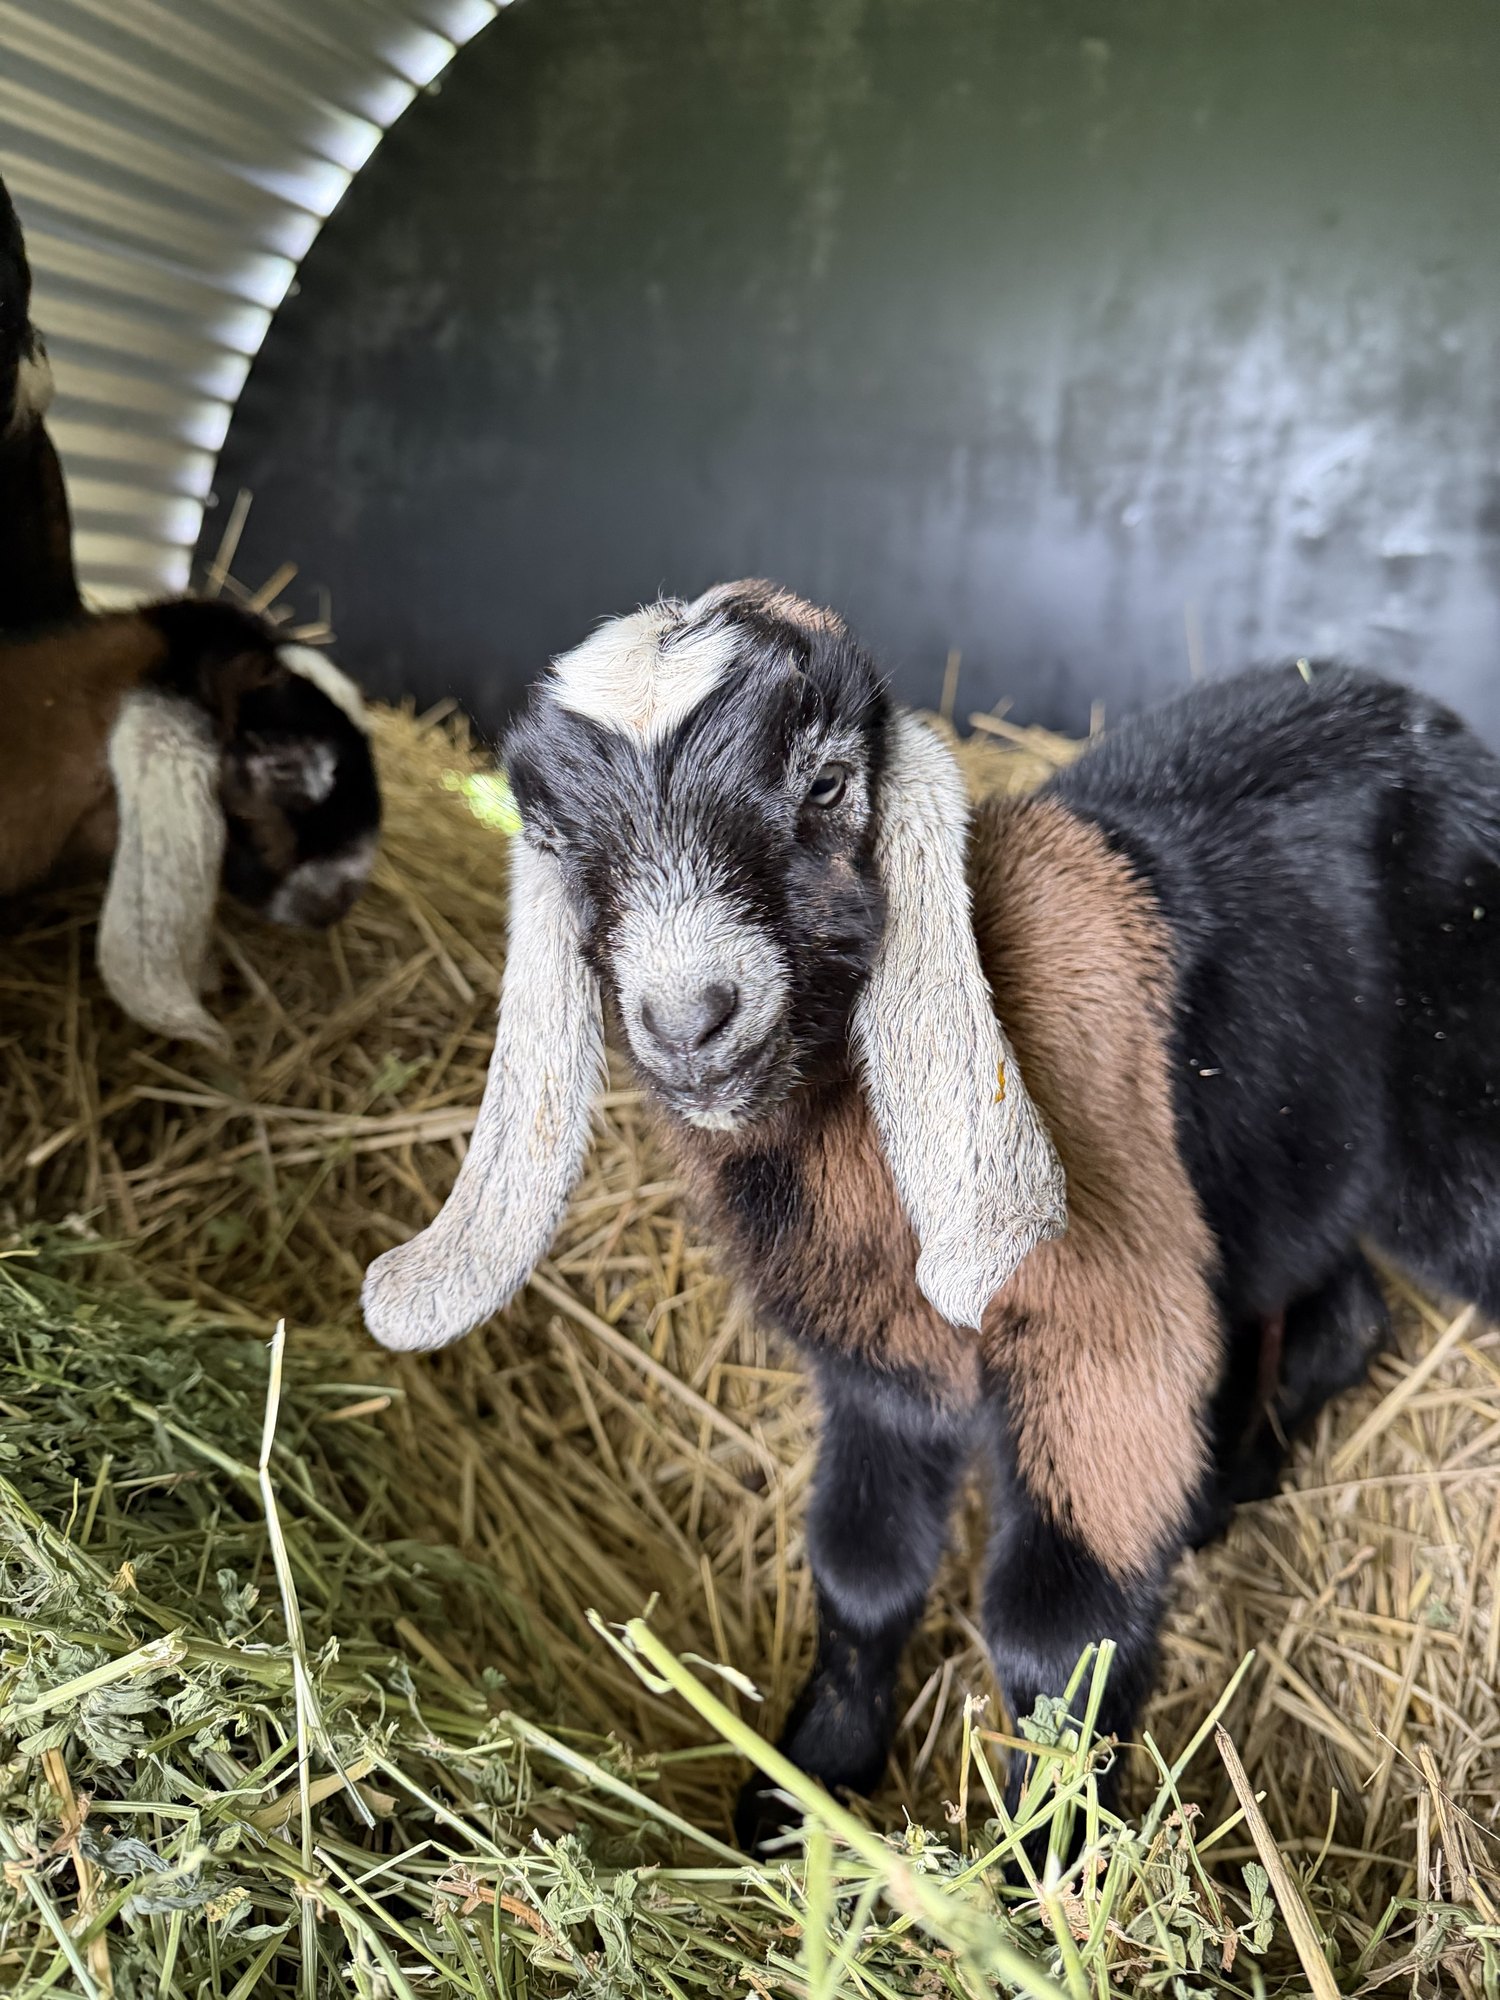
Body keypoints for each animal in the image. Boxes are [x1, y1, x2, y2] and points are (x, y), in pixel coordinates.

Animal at [363, 581, 1498, 1854]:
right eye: (557, 834)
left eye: (823, 783)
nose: (690, 1019)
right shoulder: (876, 1365)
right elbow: (862, 1570)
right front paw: (804, 1785)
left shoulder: (1105, 1343)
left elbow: (1058, 1634)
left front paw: (1040, 1859)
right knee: (1344, 1311)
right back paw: (1223, 1487)